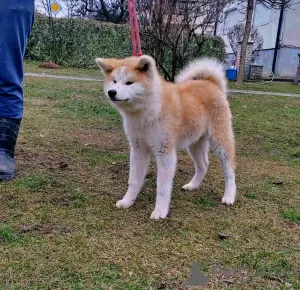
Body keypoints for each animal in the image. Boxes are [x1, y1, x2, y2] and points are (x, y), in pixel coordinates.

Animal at [96, 54, 237, 219]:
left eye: (129, 82)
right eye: (114, 81)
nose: (111, 92)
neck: (147, 110)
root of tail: (210, 83)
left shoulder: (165, 152)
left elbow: (162, 187)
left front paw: (160, 212)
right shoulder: (138, 149)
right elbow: (134, 180)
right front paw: (127, 201)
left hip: (220, 142)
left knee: (229, 170)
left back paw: (229, 196)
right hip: (194, 143)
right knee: (203, 165)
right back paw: (193, 185)